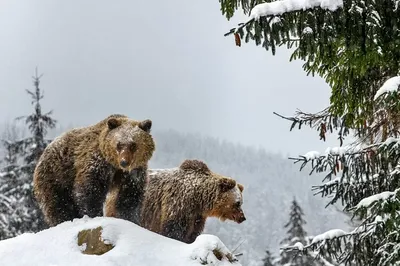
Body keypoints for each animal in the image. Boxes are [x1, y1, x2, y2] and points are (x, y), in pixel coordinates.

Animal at [104, 159, 245, 244]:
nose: (242, 218)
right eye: (238, 202)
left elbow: (193, 232)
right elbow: (175, 228)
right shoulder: (179, 203)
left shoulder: (197, 216)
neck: (199, 199)